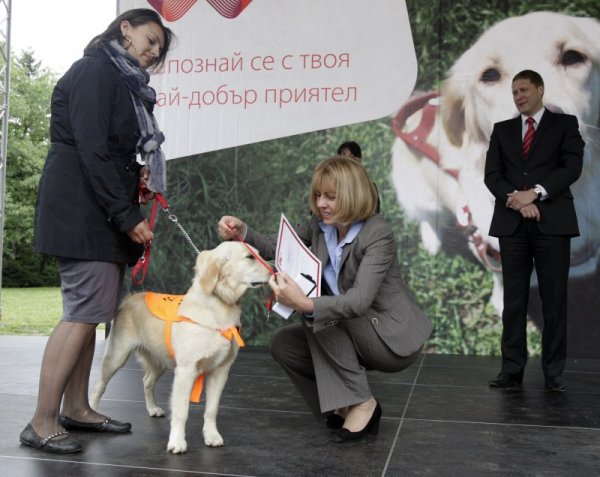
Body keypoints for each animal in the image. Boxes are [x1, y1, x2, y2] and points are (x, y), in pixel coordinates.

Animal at [90, 242, 270, 454]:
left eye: (259, 254)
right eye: (250, 257)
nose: (275, 271)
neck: (218, 306)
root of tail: (129, 298)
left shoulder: (220, 370)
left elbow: (211, 409)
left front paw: (212, 436)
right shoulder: (186, 370)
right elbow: (181, 411)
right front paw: (177, 441)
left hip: (159, 362)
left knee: (146, 381)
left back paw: (152, 408)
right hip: (116, 355)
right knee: (99, 385)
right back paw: (92, 411)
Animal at [392, 11, 600, 314]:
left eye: (572, 56)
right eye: (488, 75)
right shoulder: (493, 252)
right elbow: (504, 281)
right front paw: (502, 305)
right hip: (422, 196)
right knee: (427, 219)